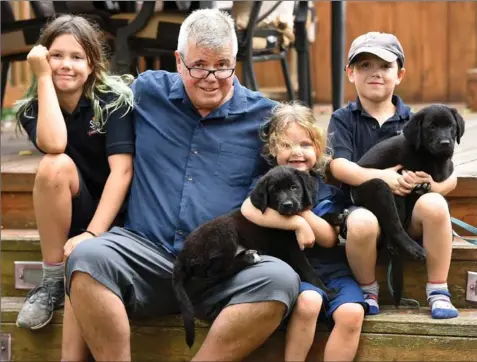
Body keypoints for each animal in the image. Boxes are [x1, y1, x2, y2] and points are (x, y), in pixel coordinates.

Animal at [173, 166, 332, 348]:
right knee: (213, 272)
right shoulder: (292, 248)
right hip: (225, 232)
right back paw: (249, 258)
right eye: (274, 190)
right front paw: (327, 290)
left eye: (294, 187)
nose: (287, 205)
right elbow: (308, 269)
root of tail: (183, 254)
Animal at [352, 104, 462, 306]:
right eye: (432, 127)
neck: (432, 158)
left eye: (451, 126)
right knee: (394, 225)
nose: (445, 143)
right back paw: (413, 249)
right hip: (381, 187)